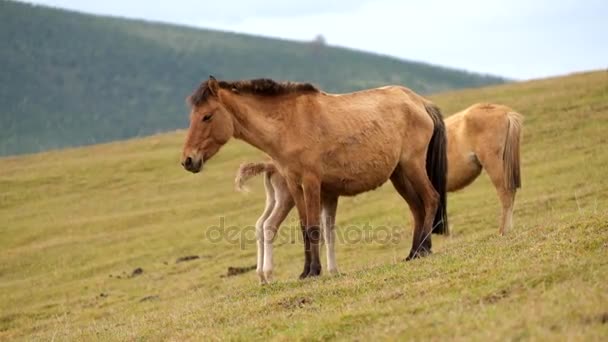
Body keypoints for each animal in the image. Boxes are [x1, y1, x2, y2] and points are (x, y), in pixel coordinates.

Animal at [180, 77, 446, 284]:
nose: (188, 160)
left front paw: (314, 271)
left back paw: (422, 248)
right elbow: (303, 228)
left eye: (207, 116)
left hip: (412, 166)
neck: (288, 124)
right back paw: (414, 252)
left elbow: (314, 228)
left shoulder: (311, 183)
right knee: (417, 208)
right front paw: (306, 271)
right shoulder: (294, 184)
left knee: (431, 199)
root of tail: (420, 102)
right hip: (399, 174)